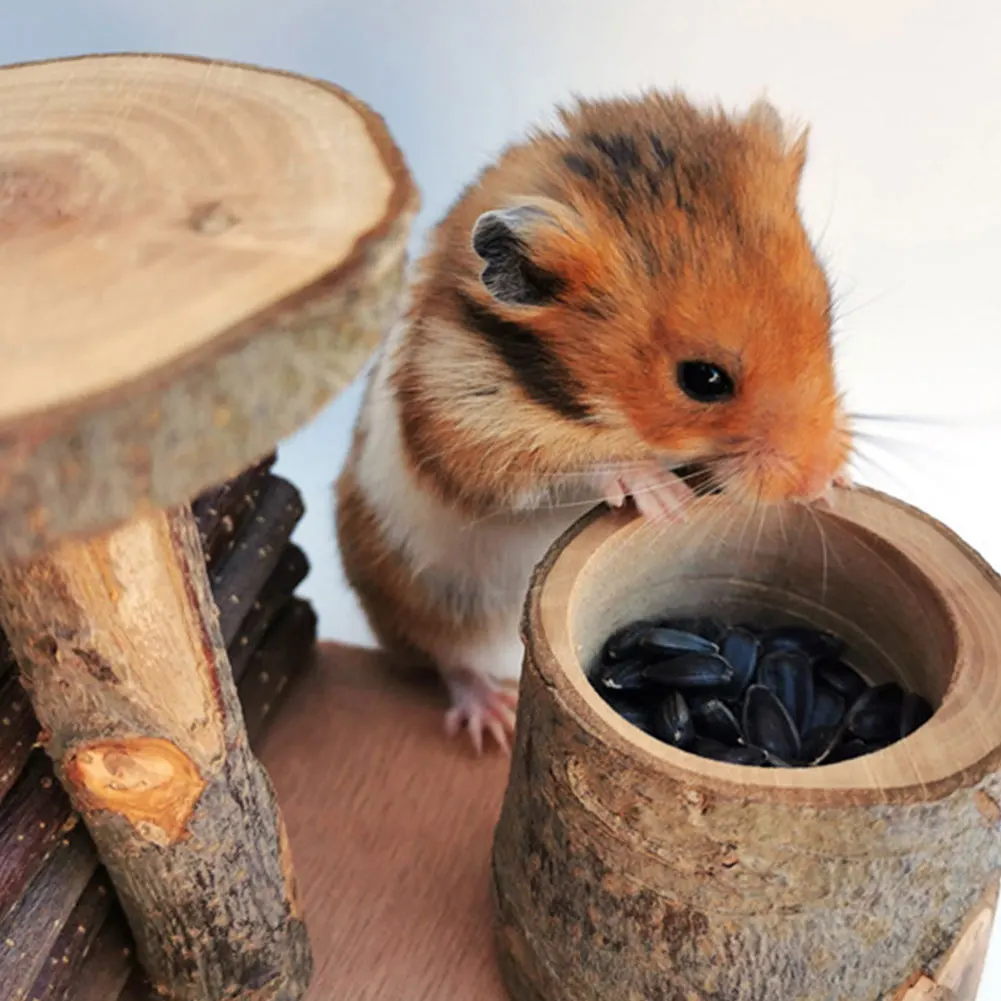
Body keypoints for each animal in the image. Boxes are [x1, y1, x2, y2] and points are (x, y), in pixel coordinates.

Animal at [335, 90, 851, 754]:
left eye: (827, 315)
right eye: (702, 379)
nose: (812, 478)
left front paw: (839, 486)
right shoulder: (464, 420)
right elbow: (576, 461)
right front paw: (666, 500)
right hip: (429, 602)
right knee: (451, 661)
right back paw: (493, 721)